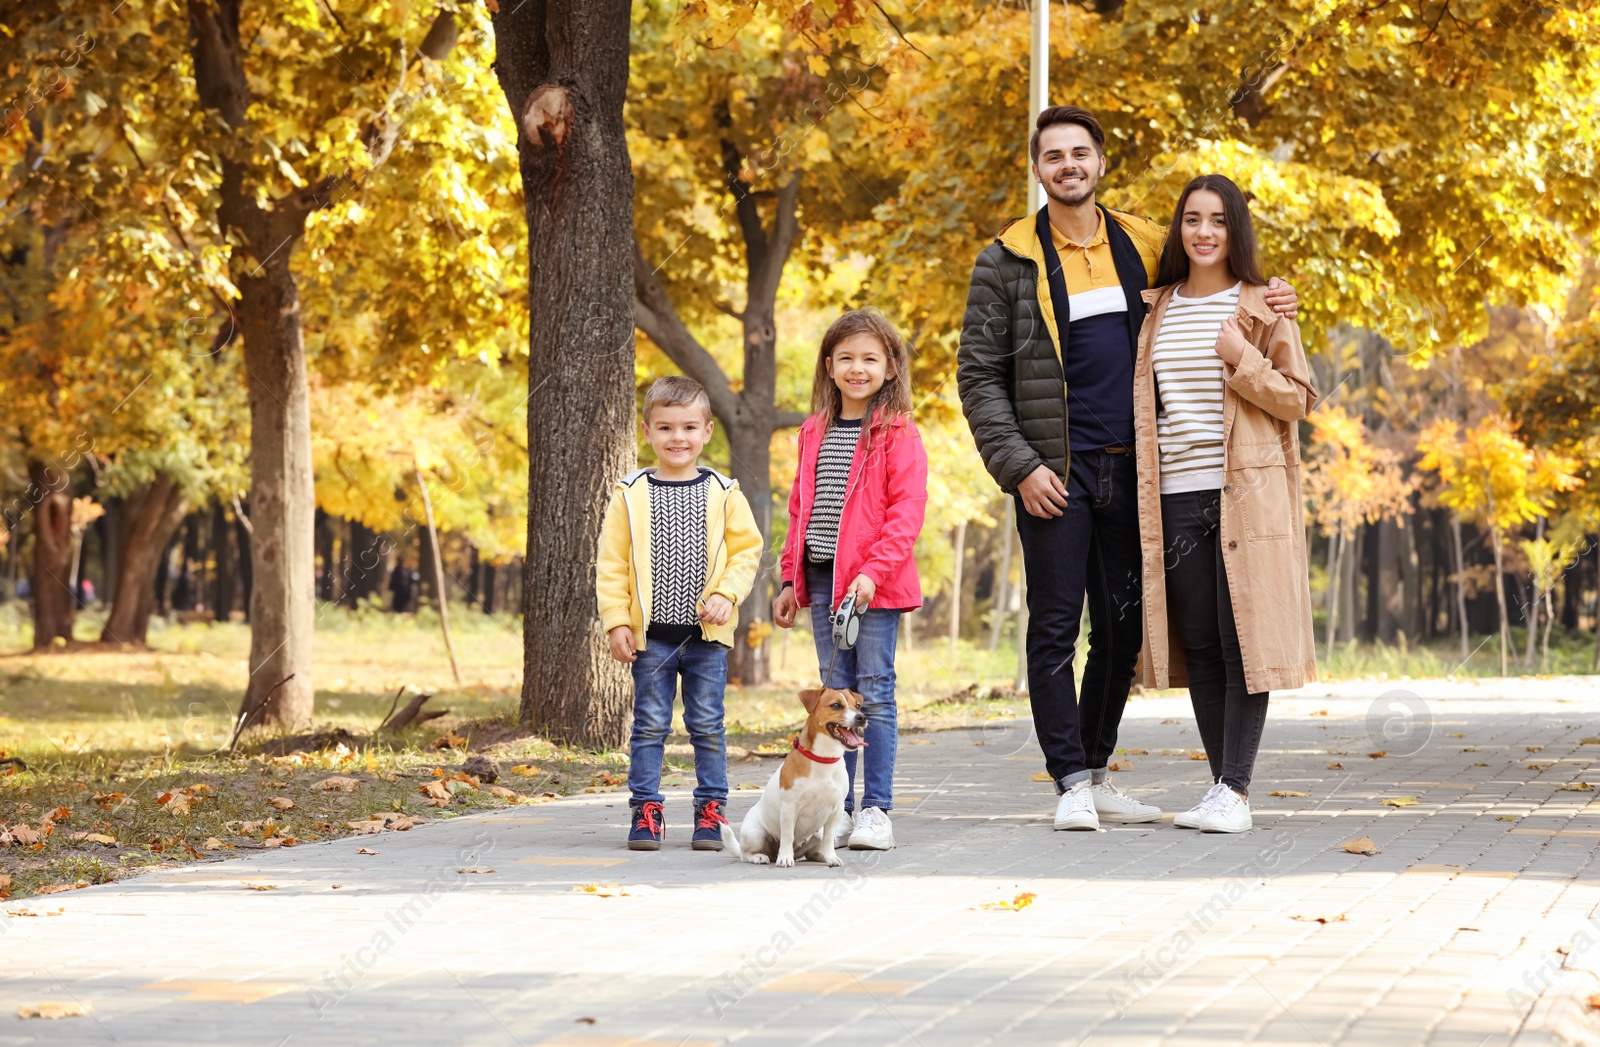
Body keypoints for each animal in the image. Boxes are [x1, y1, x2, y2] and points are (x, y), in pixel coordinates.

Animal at [726, 688, 870, 870]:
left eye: (857, 705)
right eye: (836, 705)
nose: (861, 717)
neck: (823, 758)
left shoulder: (836, 810)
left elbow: (829, 838)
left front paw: (831, 857)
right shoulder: (789, 807)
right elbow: (787, 836)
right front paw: (785, 858)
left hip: (816, 834)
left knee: (811, 852)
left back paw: (821, 856)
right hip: (755, 834)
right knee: (745, 855)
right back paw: (760, 857)